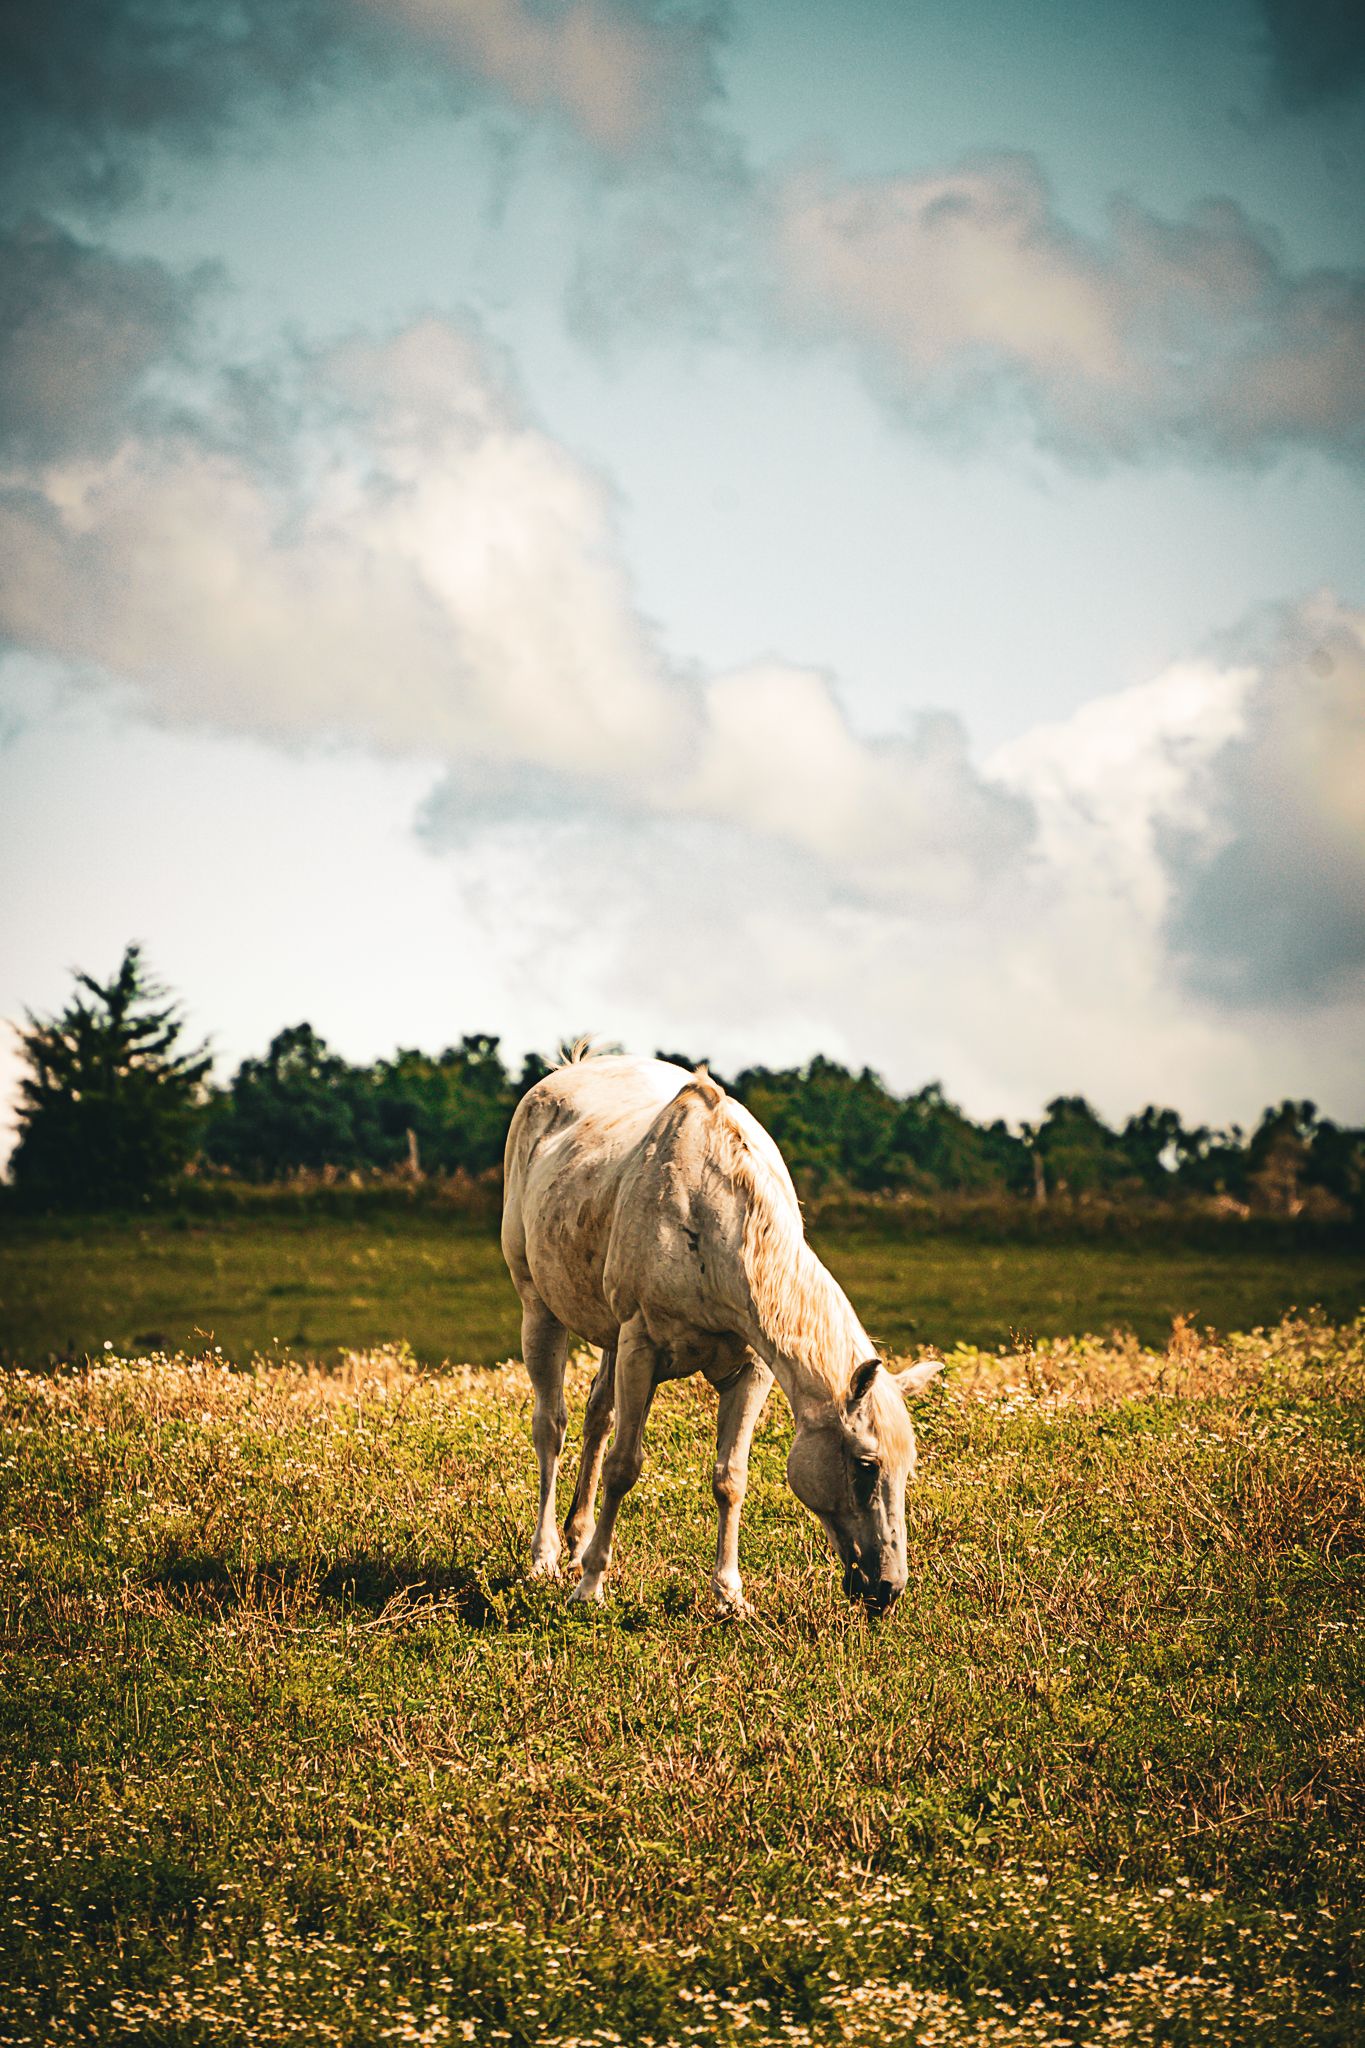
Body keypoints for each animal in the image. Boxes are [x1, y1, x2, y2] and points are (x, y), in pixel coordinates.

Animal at [500, 1049, 942, 1615]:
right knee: (550, 1427)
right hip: (539, 1309)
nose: (888, 1589)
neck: (709, 1219)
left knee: (597, 1415)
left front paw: (729, 1595)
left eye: (908, 1468)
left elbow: (730, 1478)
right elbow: (624, 1466)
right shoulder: (641, 1347)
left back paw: (576, 1543)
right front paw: (592, 1586)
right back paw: (547, 1558)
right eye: (867, 1465)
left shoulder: (750, 1369)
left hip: (609, 1335)